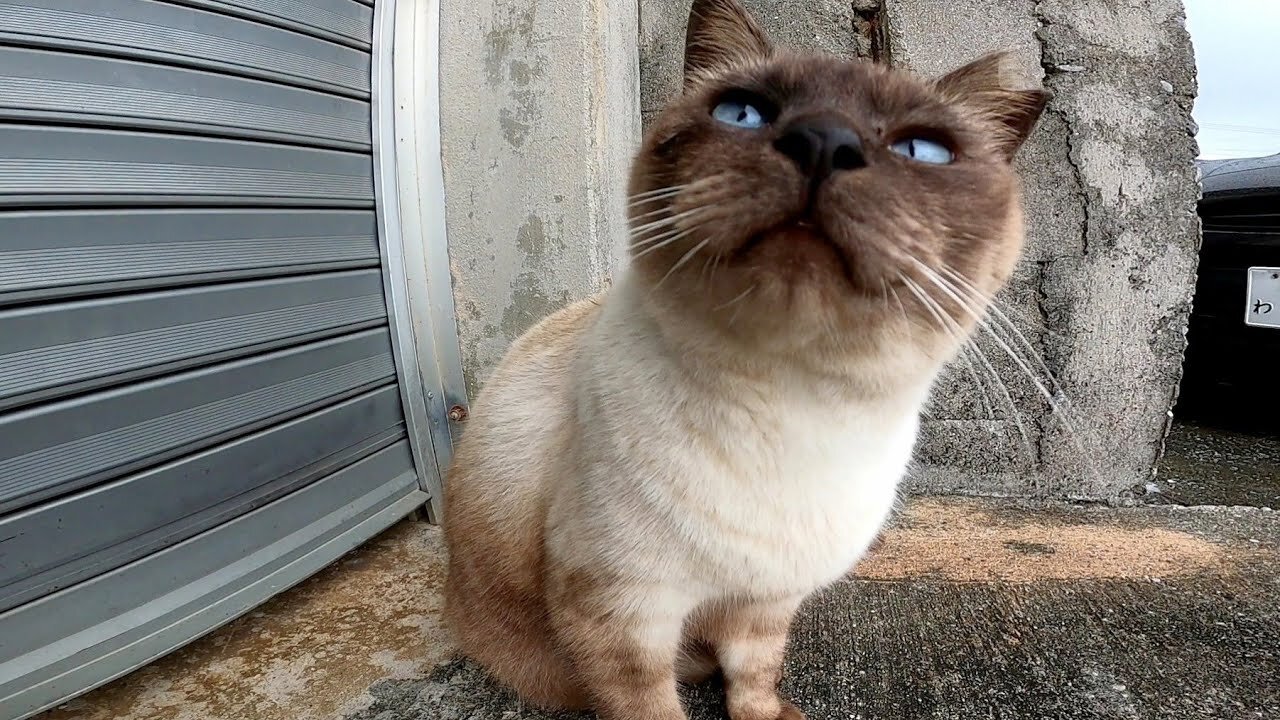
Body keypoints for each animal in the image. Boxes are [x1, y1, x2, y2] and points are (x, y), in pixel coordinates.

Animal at [442, 1, 1049, 717]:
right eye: (743, 113)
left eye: (921, 151)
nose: (824, 140)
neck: (797, 406)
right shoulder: (621, 610)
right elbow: (653, 704)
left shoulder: (766, 599)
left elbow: (755, 674)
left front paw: (770, 712)